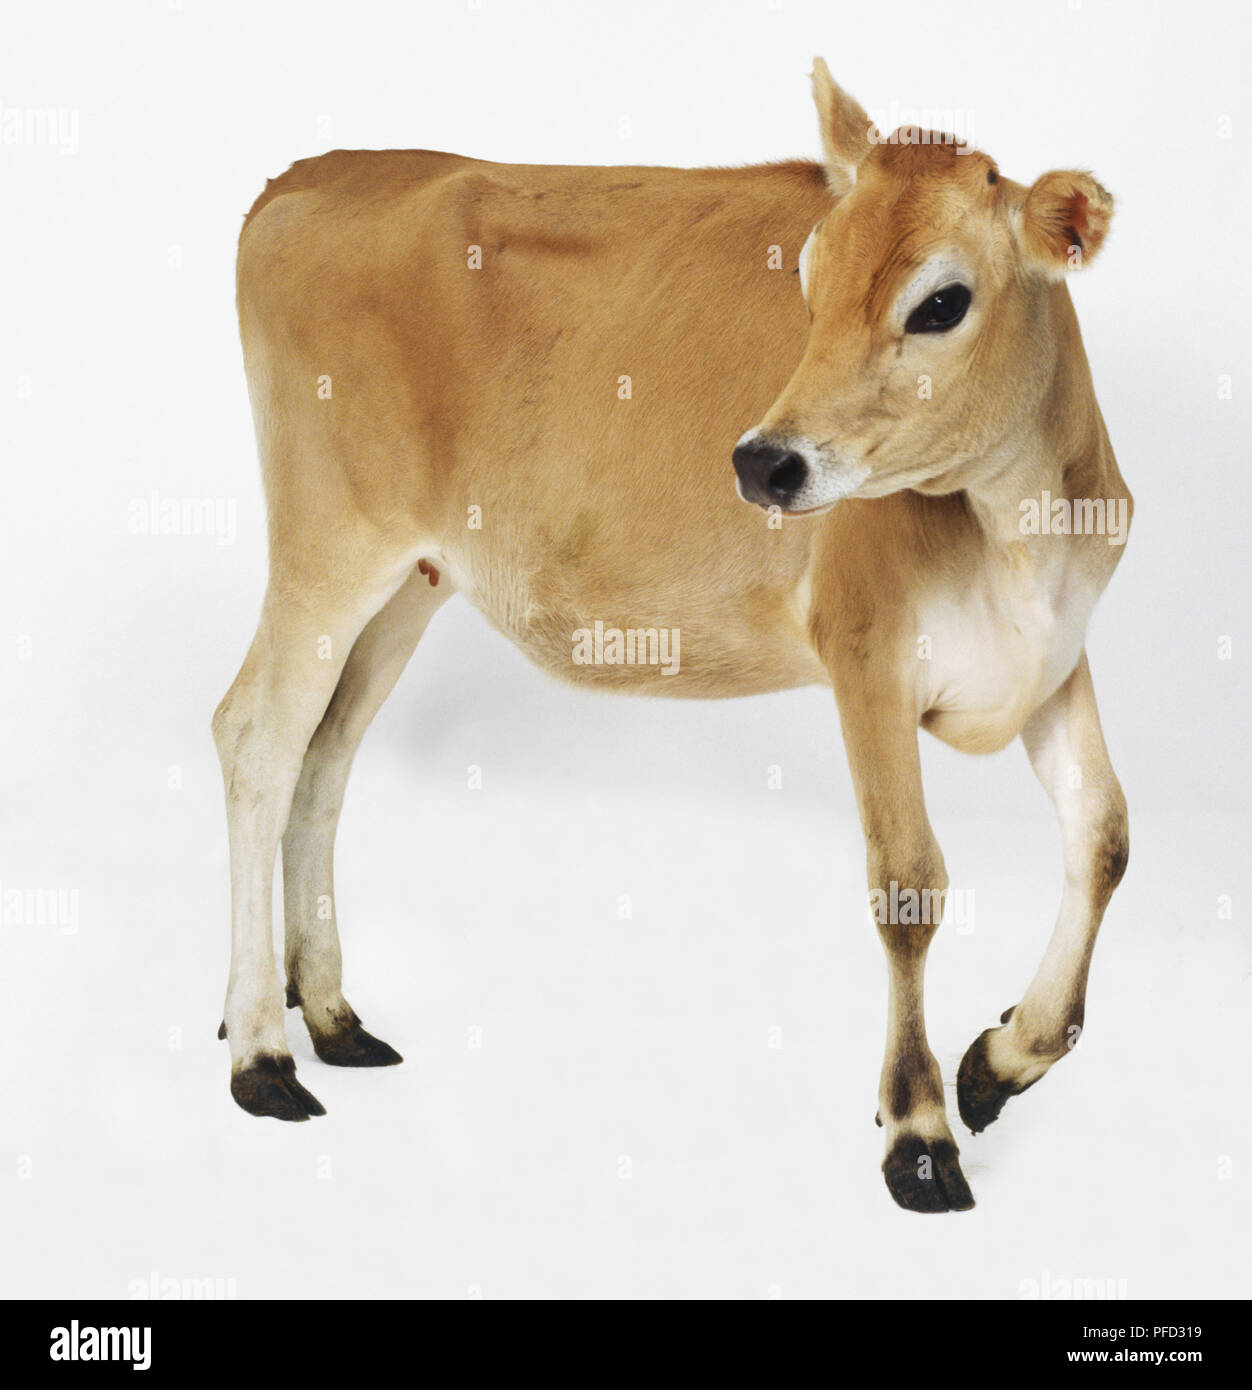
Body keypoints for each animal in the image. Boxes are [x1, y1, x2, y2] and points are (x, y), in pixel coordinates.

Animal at [214, 59, 1131, 1213]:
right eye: (808, 275)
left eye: (942, 301)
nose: (765, 461)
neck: (1018, 522)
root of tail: (312, 173)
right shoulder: (865, 654)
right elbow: (908, 884)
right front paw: (917, 1130)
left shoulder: (1055, 654)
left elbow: (1103, 836)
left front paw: (1002, 1058)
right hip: (326, 549)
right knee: (256, 736)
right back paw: (260, 1050)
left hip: (407, 584)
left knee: (324, 755)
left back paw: (329, 1014)